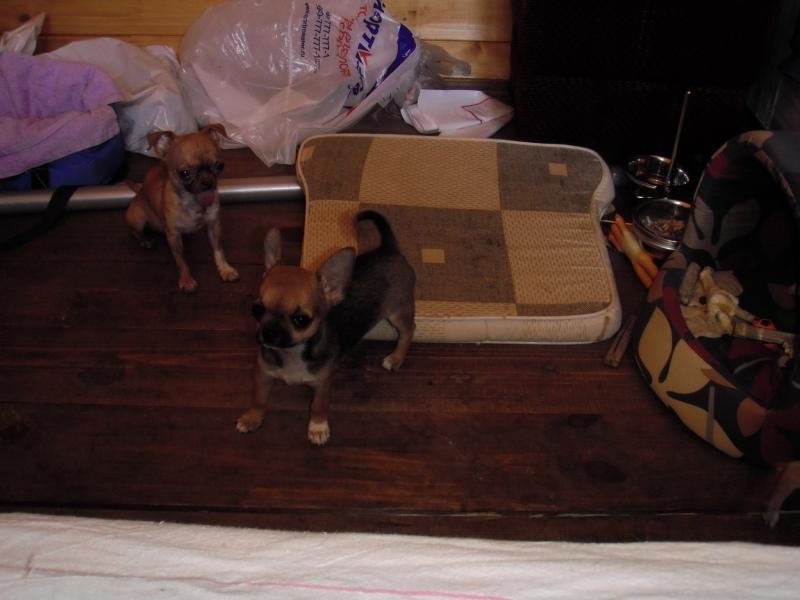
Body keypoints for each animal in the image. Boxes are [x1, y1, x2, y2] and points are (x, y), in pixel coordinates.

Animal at [125, 124, 239, 293]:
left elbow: (219, 251)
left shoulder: (214, 226)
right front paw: (186, 280)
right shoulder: (173, 236)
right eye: (184, 173)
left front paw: (224, 268)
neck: (193, 203)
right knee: (134, 232)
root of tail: (139, 191)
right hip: (137, 218)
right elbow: (181, 260)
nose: (207, 181)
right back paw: (145, 240)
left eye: (219, 165)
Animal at [236, 211, 416, 445]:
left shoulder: (322, 384)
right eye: (256, 309)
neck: (293, 354)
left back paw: (396, 358)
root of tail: (389, 248)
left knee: (408, 331)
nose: (268, 333)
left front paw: (318, 427)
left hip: (397, 312)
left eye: (301, 319)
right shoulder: (263, 374)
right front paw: (252, 418)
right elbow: (259, 399)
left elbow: (319, 406)